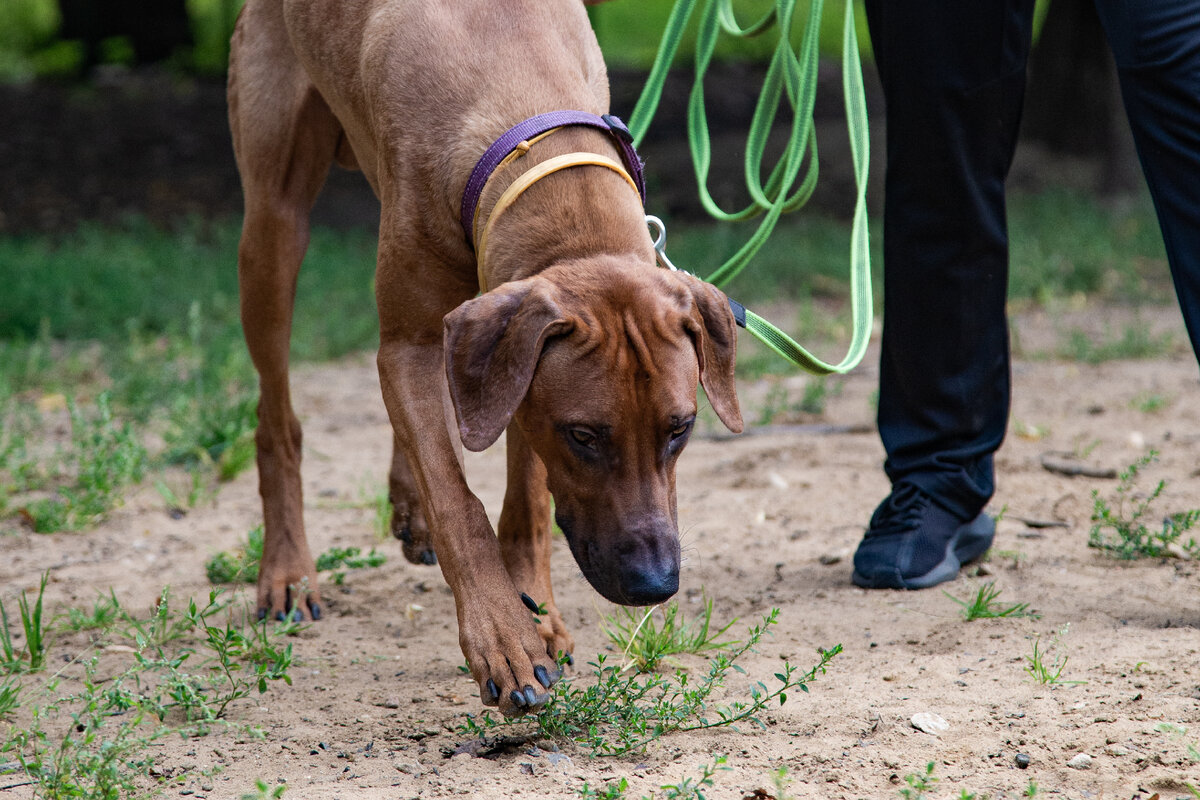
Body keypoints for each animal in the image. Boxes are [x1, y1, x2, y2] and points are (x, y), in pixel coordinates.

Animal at [226, 0, 739, 714]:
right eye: (585, 436)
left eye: (681, 429)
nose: (654, 585)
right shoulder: (420, 349)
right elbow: (456, 500)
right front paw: (504, 636)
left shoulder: (517, 361)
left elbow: (525, 499)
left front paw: (538, 613)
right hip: (271, 227)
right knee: (278, 419)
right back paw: (288, 570)